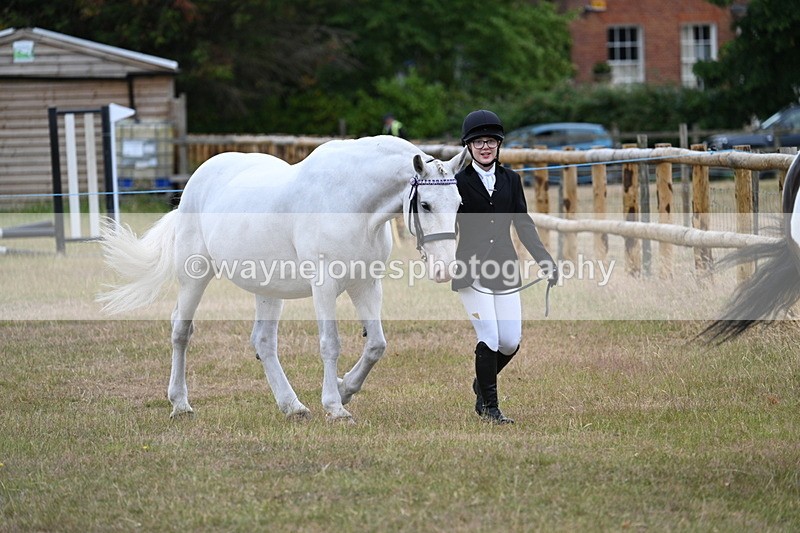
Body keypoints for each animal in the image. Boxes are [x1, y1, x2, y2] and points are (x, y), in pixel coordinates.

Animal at [98, 135, 469, 420]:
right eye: (425, 204)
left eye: (459, 203)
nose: (445, 268)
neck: (352, 200)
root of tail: (196, 181)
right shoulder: (325, 285)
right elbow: (330, 344)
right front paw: (335, 407)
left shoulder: (366, 284)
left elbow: (376, 344)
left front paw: (345, 389)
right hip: (195, 274)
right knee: (181, 331)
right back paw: (180, 404)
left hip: (268, 288)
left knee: (264, 342)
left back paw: (292, 406)